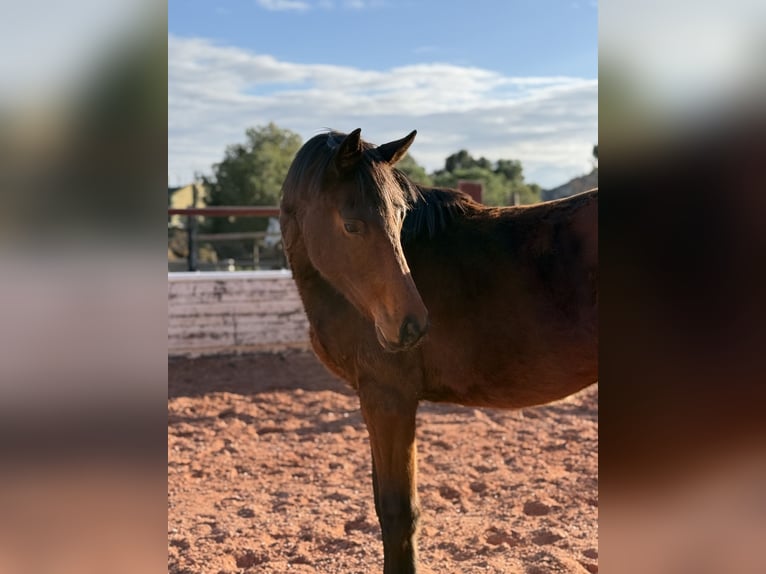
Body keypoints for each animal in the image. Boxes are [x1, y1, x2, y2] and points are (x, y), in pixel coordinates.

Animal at [279, 128, 598, 574]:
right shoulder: (374, 400)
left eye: (399, 217)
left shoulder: (390, 399)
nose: (411, 324)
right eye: (352, 224)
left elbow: (398, 512)